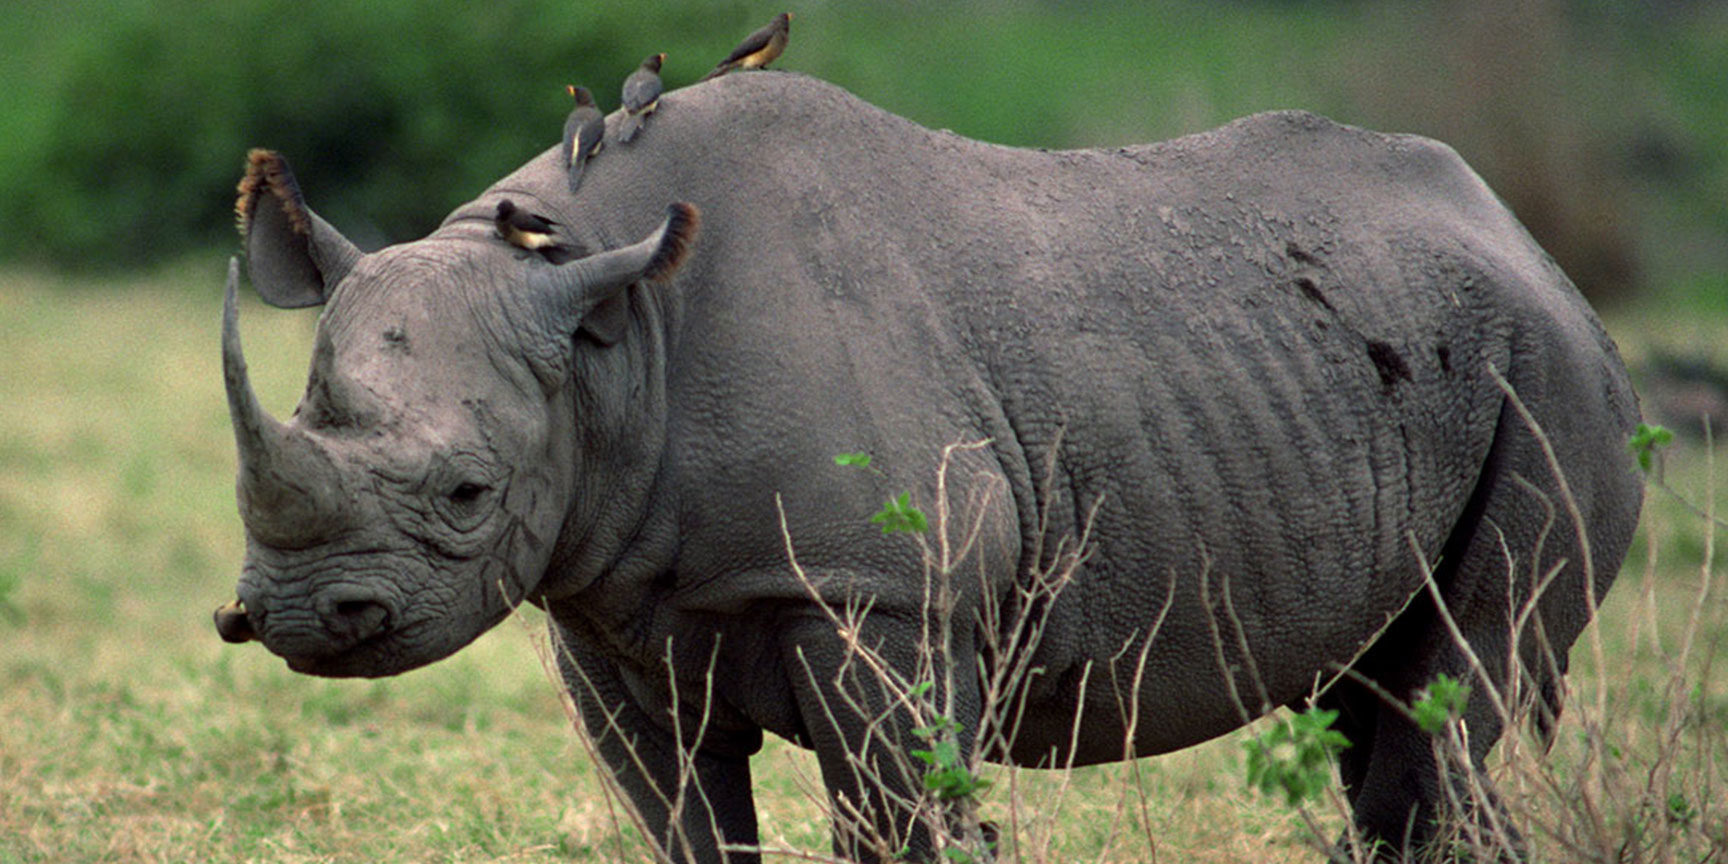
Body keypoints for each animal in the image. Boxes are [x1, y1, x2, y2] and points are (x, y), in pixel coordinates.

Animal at [216, 72, 1645, 857]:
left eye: (466, 495)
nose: (297, 618)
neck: (608, 333)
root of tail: (1527, 244)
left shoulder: (880, 595)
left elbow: (904, 817)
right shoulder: (600, 608)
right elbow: (685, 822)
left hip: (1556, 383)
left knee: (1451, 704)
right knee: (1382, 709)